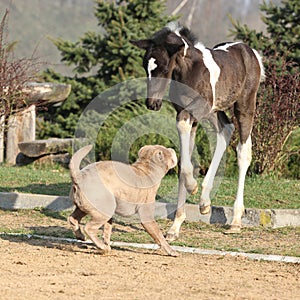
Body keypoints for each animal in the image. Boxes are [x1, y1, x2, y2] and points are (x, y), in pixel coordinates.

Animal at [131, 22, 264, 239]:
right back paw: (204, 203)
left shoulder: (193, 113)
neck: (188, 72)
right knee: (226, 130)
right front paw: (175, 226)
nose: (152, 104)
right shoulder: (184, 113)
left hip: (244, 105)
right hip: (215, 110)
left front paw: (192, 187)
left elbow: (186, 163)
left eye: (164, 67)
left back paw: (236, 220)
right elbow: (184, 163)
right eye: (146, 67)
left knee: (243, 152)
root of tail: (251, 52)